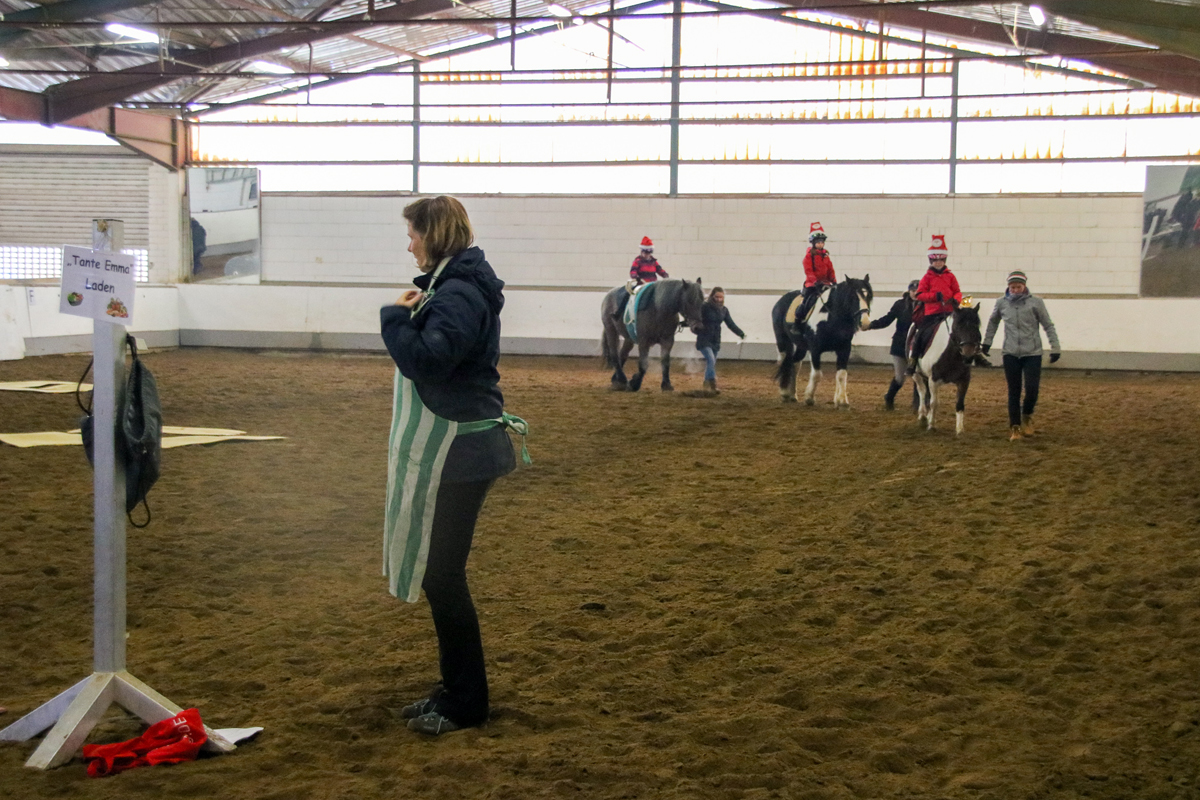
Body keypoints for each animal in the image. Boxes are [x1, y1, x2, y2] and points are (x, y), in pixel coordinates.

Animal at [772, 278, 878, 410]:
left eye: (868, 296)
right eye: (853, 296)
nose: (865, 323)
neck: (831, 318)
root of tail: (780, 300)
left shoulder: (844, 349)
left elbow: (841, 374)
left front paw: (842, 401)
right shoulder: (815, 350)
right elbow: (817, 374)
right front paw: (809, 398)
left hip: (801, 346)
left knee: (794, 364)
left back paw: (792, 395)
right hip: (782, 340)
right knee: (783, 362)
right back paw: (784, 393)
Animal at [916, 303, 984, 434]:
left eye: (976, 326)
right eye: (957, 326)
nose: (968, 356)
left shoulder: (964, 380)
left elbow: (959, 404)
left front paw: (960, 429)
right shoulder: (934, 379)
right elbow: (934, 403)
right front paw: (931, 425)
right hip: (916, 374)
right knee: (921, 391)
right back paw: (922, 416)